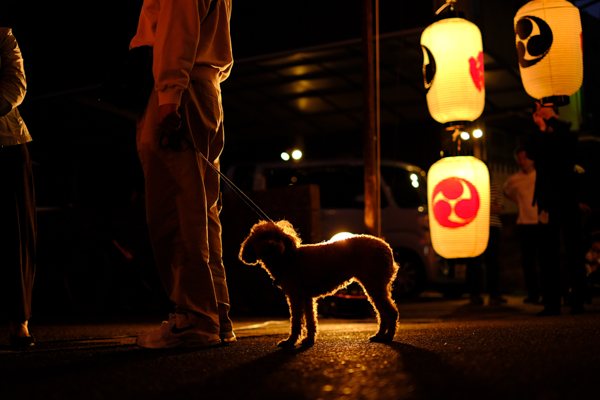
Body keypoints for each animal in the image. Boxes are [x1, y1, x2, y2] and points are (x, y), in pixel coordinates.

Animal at [239, 220, 399, 347]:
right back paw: (379, 335)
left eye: (278, 239)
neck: (286, 259)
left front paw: (290, 342)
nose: (272, 245)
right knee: (382, 312)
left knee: (391, 312)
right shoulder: (306, 297)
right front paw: (309, 340)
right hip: (373, 285)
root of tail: (387, 248)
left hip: (374, 284)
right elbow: (311, 321)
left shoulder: (295, 296)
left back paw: (388, 337)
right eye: (262, 238)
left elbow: (296, 322)